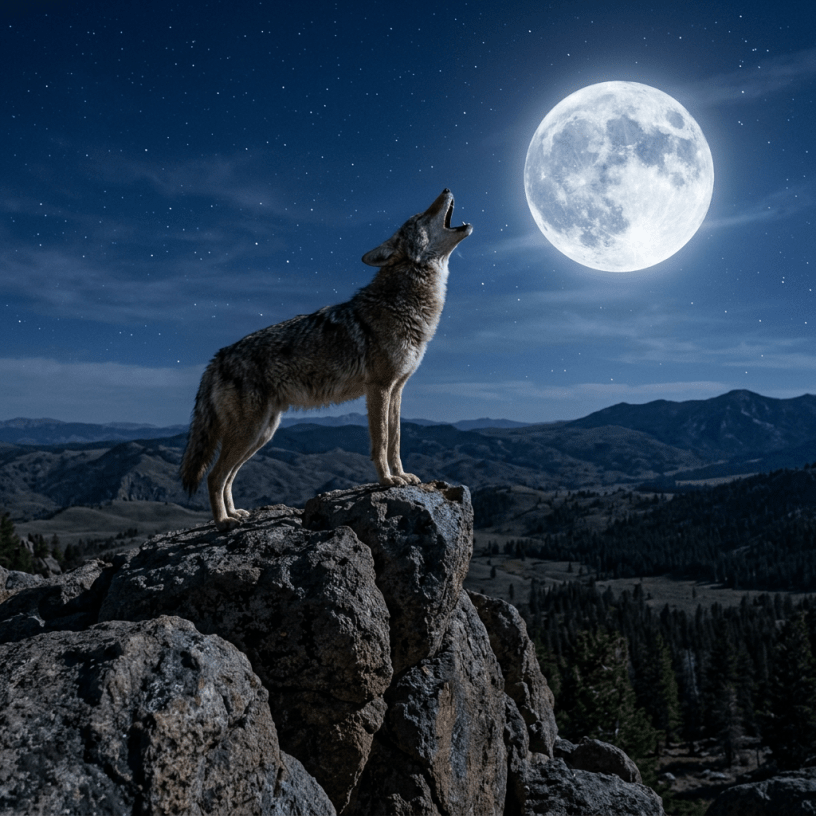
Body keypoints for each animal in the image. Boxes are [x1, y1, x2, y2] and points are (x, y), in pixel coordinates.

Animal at [180, 189, 472, 530]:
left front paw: (402, 476)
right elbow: (381, 441)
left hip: (262, 433)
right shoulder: (379, 388)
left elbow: (396, 439)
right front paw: (387, 481)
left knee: (227, 476)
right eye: (420, 217)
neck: (406, 303)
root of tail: (217, 357)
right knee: (215, 476)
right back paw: (223, 522)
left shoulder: (397, 388)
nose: (446, 189)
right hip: (251, 432)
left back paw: (235, 513)